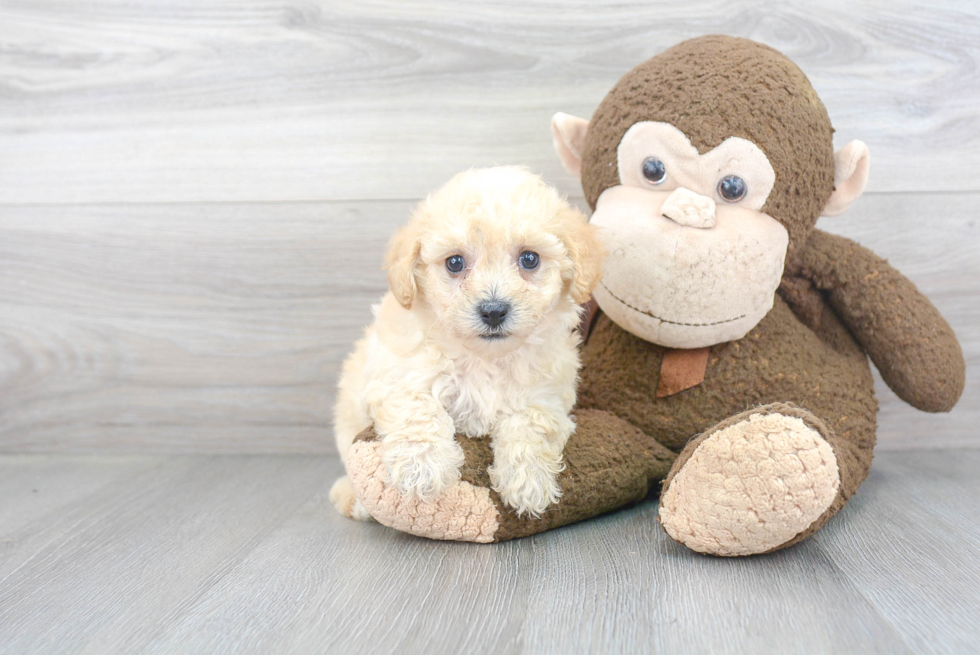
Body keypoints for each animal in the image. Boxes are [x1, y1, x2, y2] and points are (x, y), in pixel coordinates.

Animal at [334, 167, 600, 520]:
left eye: (530, 259)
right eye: (455, 263)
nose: (493, 310)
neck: (485, 358)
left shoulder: (547, 396)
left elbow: (531, 424)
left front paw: (528, 482)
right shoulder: (397, 373)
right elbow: (417, 408)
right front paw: (421, 468)